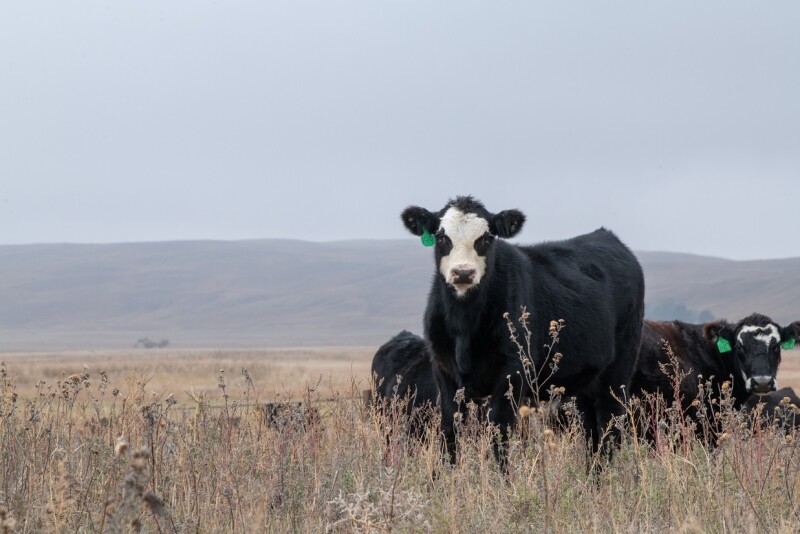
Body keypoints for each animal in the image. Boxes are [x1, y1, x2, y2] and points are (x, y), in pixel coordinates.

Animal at [401, 196, 645, 469]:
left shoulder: (513, 369)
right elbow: (449, 429)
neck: (464, 325)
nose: (463, 272)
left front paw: (501, 478)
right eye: (442, 237)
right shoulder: (443, 369)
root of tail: (607, 237)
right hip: (586, 379)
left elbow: (499, 429)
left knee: (610, 425)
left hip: (619, 370)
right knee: (591, 430)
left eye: (486, 238)